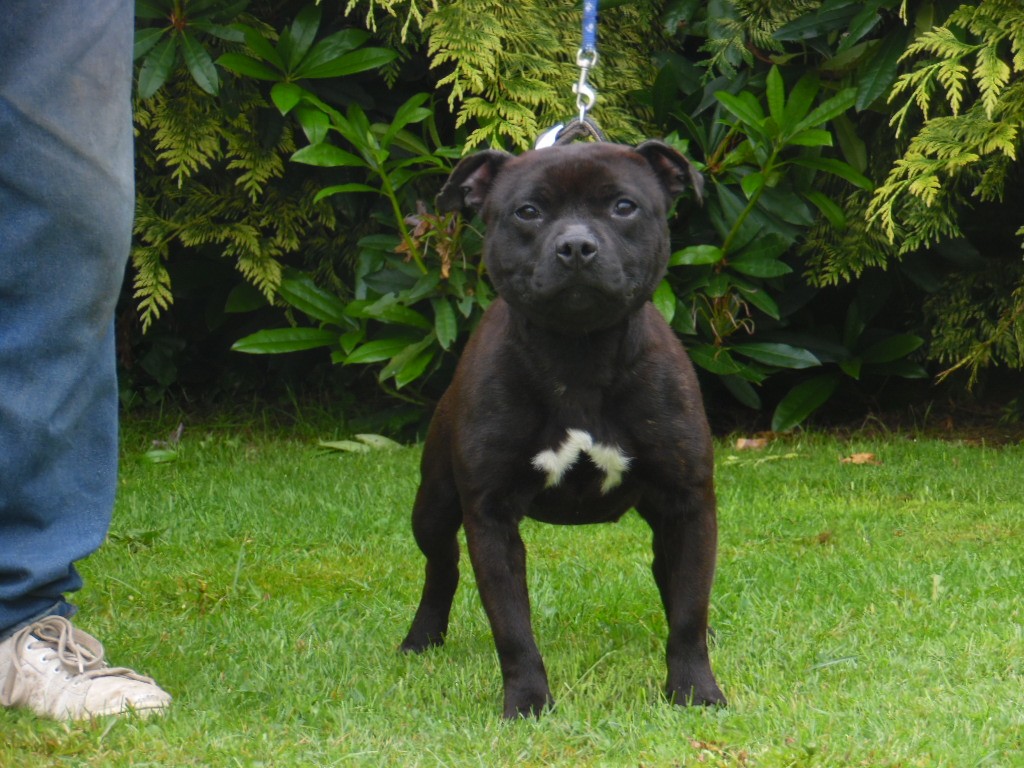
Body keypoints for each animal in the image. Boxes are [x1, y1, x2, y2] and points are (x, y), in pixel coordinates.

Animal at [401, 140, 729, 720]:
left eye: (623, 206)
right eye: (528, 211)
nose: (576, 245)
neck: (578, 354)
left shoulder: (689, 502)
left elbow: (690, 609)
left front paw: (694, 690)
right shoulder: (490, 515)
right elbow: (511, 626)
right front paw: (527, 702)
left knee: (670, 573)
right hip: (434, 505)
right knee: (442, 565)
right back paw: (422, 637)